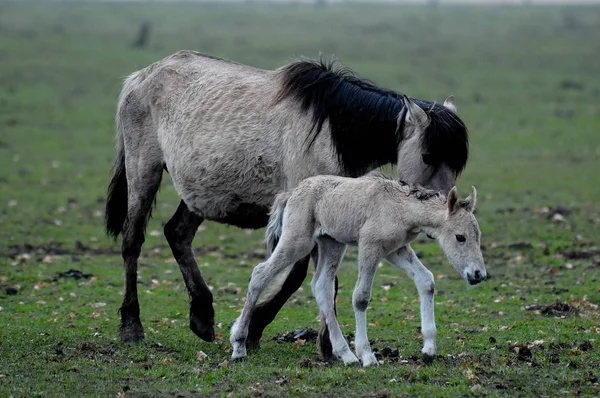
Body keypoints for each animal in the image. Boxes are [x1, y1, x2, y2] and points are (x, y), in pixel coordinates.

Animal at [104, 49, 468, 358]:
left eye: (458, 163)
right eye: (427, 155)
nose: (445, 211)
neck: (333, 131)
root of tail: (140, 77)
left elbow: (317, 279)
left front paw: (319, 342)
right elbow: (300, 276)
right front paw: (263, 331)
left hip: (201, 194)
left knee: (177, 234)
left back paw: (203, 317)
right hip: (143, 171)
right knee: (132, 241)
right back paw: (132, 326)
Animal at [231, 177, 488, 366]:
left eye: (478, 235)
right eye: (460, 237)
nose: (478, 274)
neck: (401, 208)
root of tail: (291, 193)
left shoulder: (396, 250)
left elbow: (426, 280)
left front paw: (428, 349)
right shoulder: (370, 246)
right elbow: (361, 297)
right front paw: (368, 356)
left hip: (332, 242)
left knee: (321, 286)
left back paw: (346, 355)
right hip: (298, 240)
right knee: (260, 274)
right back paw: (239, 345)